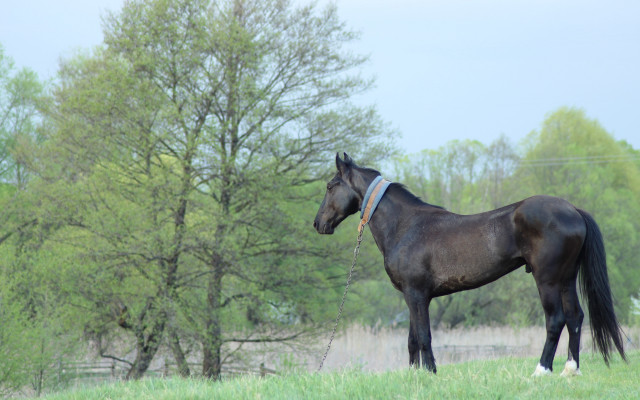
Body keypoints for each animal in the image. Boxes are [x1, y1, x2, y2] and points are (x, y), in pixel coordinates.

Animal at [313, 153, 626, 376]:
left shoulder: (417, 294)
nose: (318, 224)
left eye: (330, 186)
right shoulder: (413, 296)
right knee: (575, 317)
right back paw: (570, 370)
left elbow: (424, 336)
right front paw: (415, 374)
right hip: (566, 278)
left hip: (547, 279)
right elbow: (412, 338)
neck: (405, 226)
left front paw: (431, 373)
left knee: (556, 320)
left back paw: (542, 370)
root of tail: (573, 210)